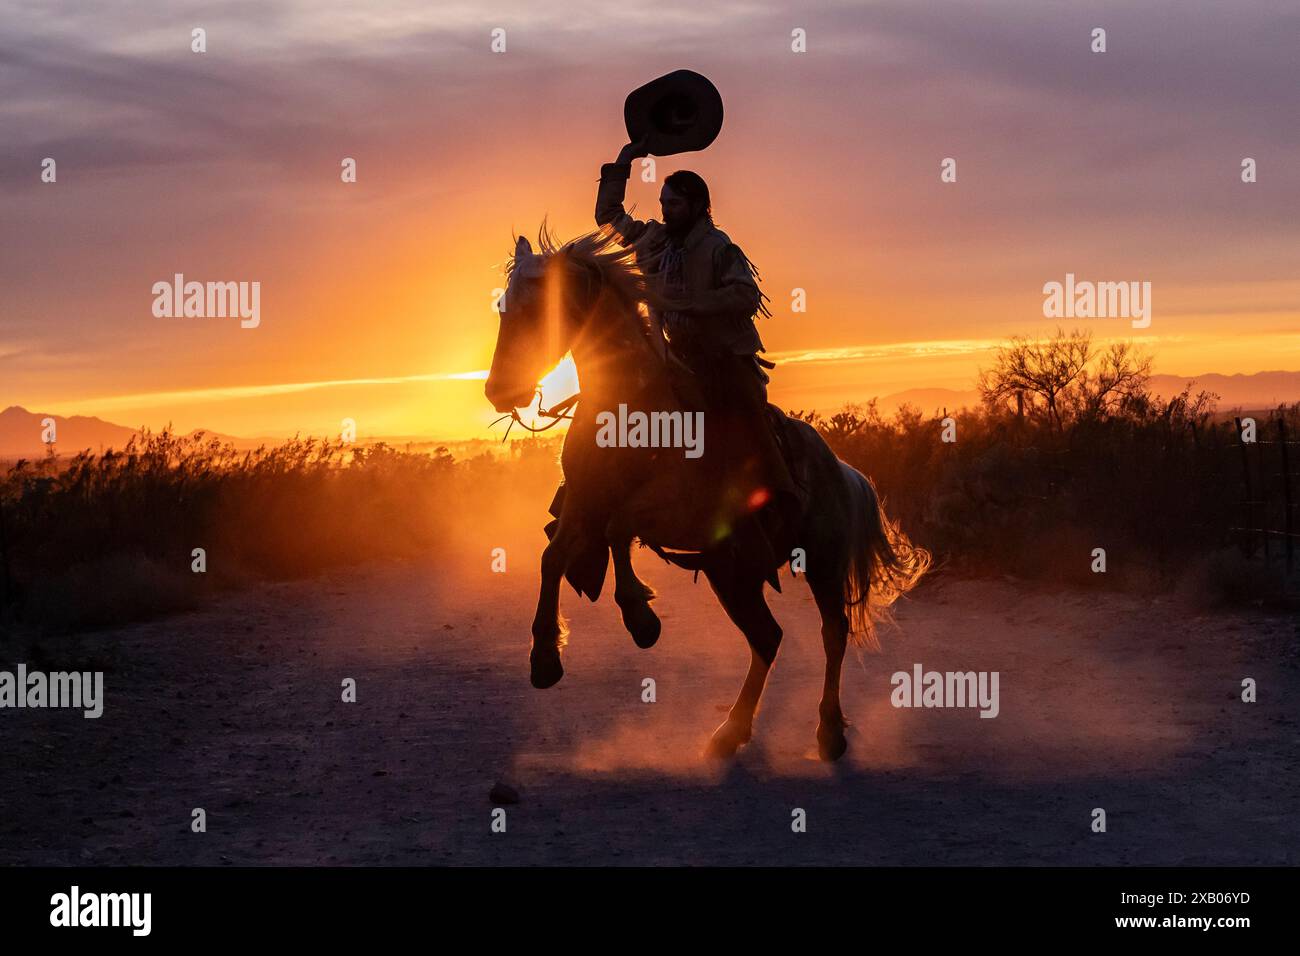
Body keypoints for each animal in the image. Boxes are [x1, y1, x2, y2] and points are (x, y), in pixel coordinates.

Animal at [485, 226, 930, 761]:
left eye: (538, 309)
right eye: (504, 308)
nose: (498, 392)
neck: (632, 411)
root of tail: (843, 472)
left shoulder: (675, 512)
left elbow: (617, 527)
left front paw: (639, 615)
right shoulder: (583, 504)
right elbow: (555, 556)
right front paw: (546, 656)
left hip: (820, 565)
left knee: (833, 633)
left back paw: (828, 731)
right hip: (730, 574)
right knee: (768, 638)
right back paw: (731, 731)